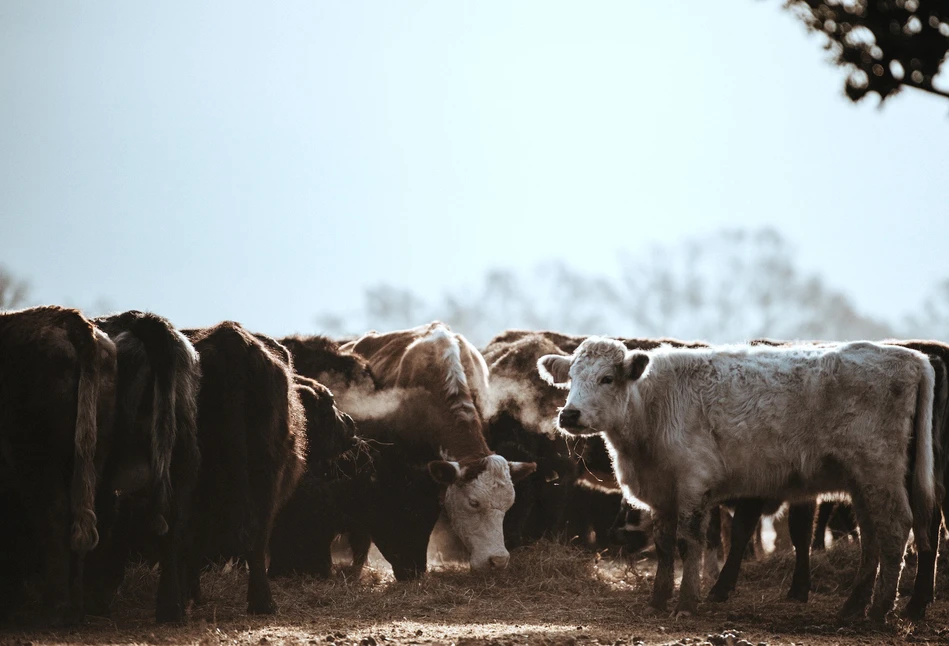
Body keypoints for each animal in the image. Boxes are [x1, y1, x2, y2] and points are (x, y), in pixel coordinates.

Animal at [0, 308, 116, 628]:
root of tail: (69, 320)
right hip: (93, 455)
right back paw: (74, 609)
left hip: (36, 459)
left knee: (53, 514)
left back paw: (55, 610)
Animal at [536, 342, 936, 624]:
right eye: (571, 379)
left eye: (607, 378)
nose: (569, 414)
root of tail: (911, 357)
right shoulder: (662, 493)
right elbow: (664, 546)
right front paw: (657, 601)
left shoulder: (693, 484)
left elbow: (689, 543)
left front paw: (686, 603)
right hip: (862, 482)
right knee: (874, 535)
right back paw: (855, 606)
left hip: (879, 470)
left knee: (896, 528)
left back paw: (879, 611)